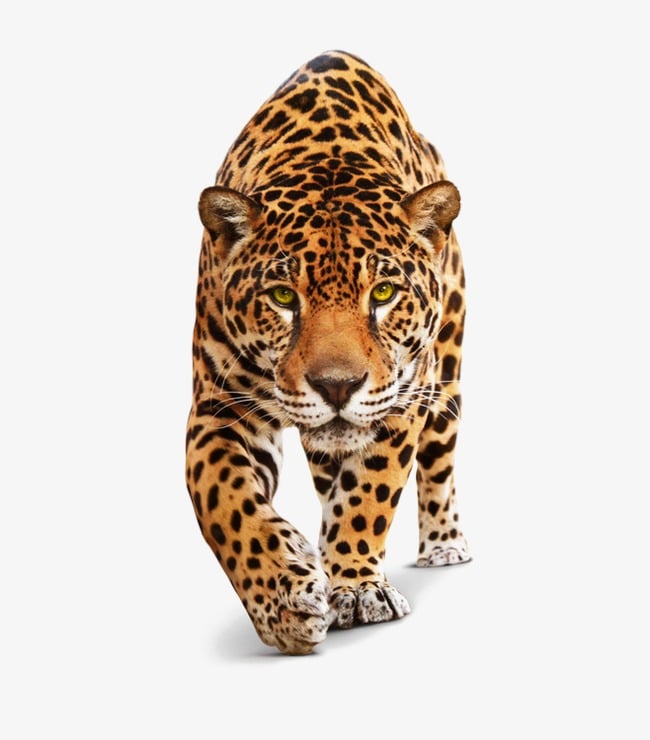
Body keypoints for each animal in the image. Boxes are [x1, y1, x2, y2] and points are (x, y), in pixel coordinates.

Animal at [185, 50, 470, 655]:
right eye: (282, 297)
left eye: (383, 294)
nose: (337, 386)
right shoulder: (218, 408)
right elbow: (225, 503)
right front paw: (284, 603)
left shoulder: (403, 395)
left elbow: (370, 492)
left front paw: (358, 588)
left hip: (447, 377)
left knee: (438, 463)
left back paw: (443, 544)